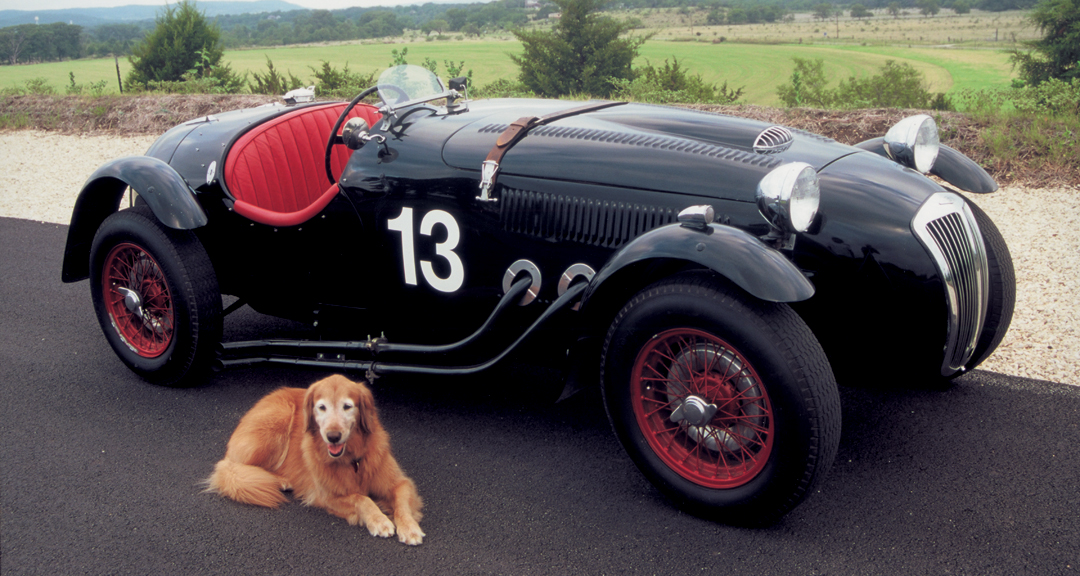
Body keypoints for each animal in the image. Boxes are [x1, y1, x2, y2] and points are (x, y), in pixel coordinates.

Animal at [204, 371, 423, 542]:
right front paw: (379, 520)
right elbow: (362, 499)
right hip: (278, 420)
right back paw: (281, 480)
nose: (333, 436)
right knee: (241, 467)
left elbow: (402, 504)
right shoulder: (328, 496)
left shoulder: (399, 482)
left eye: (347, 406)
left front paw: (409, 527)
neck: (353, 459)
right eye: (322, 407)